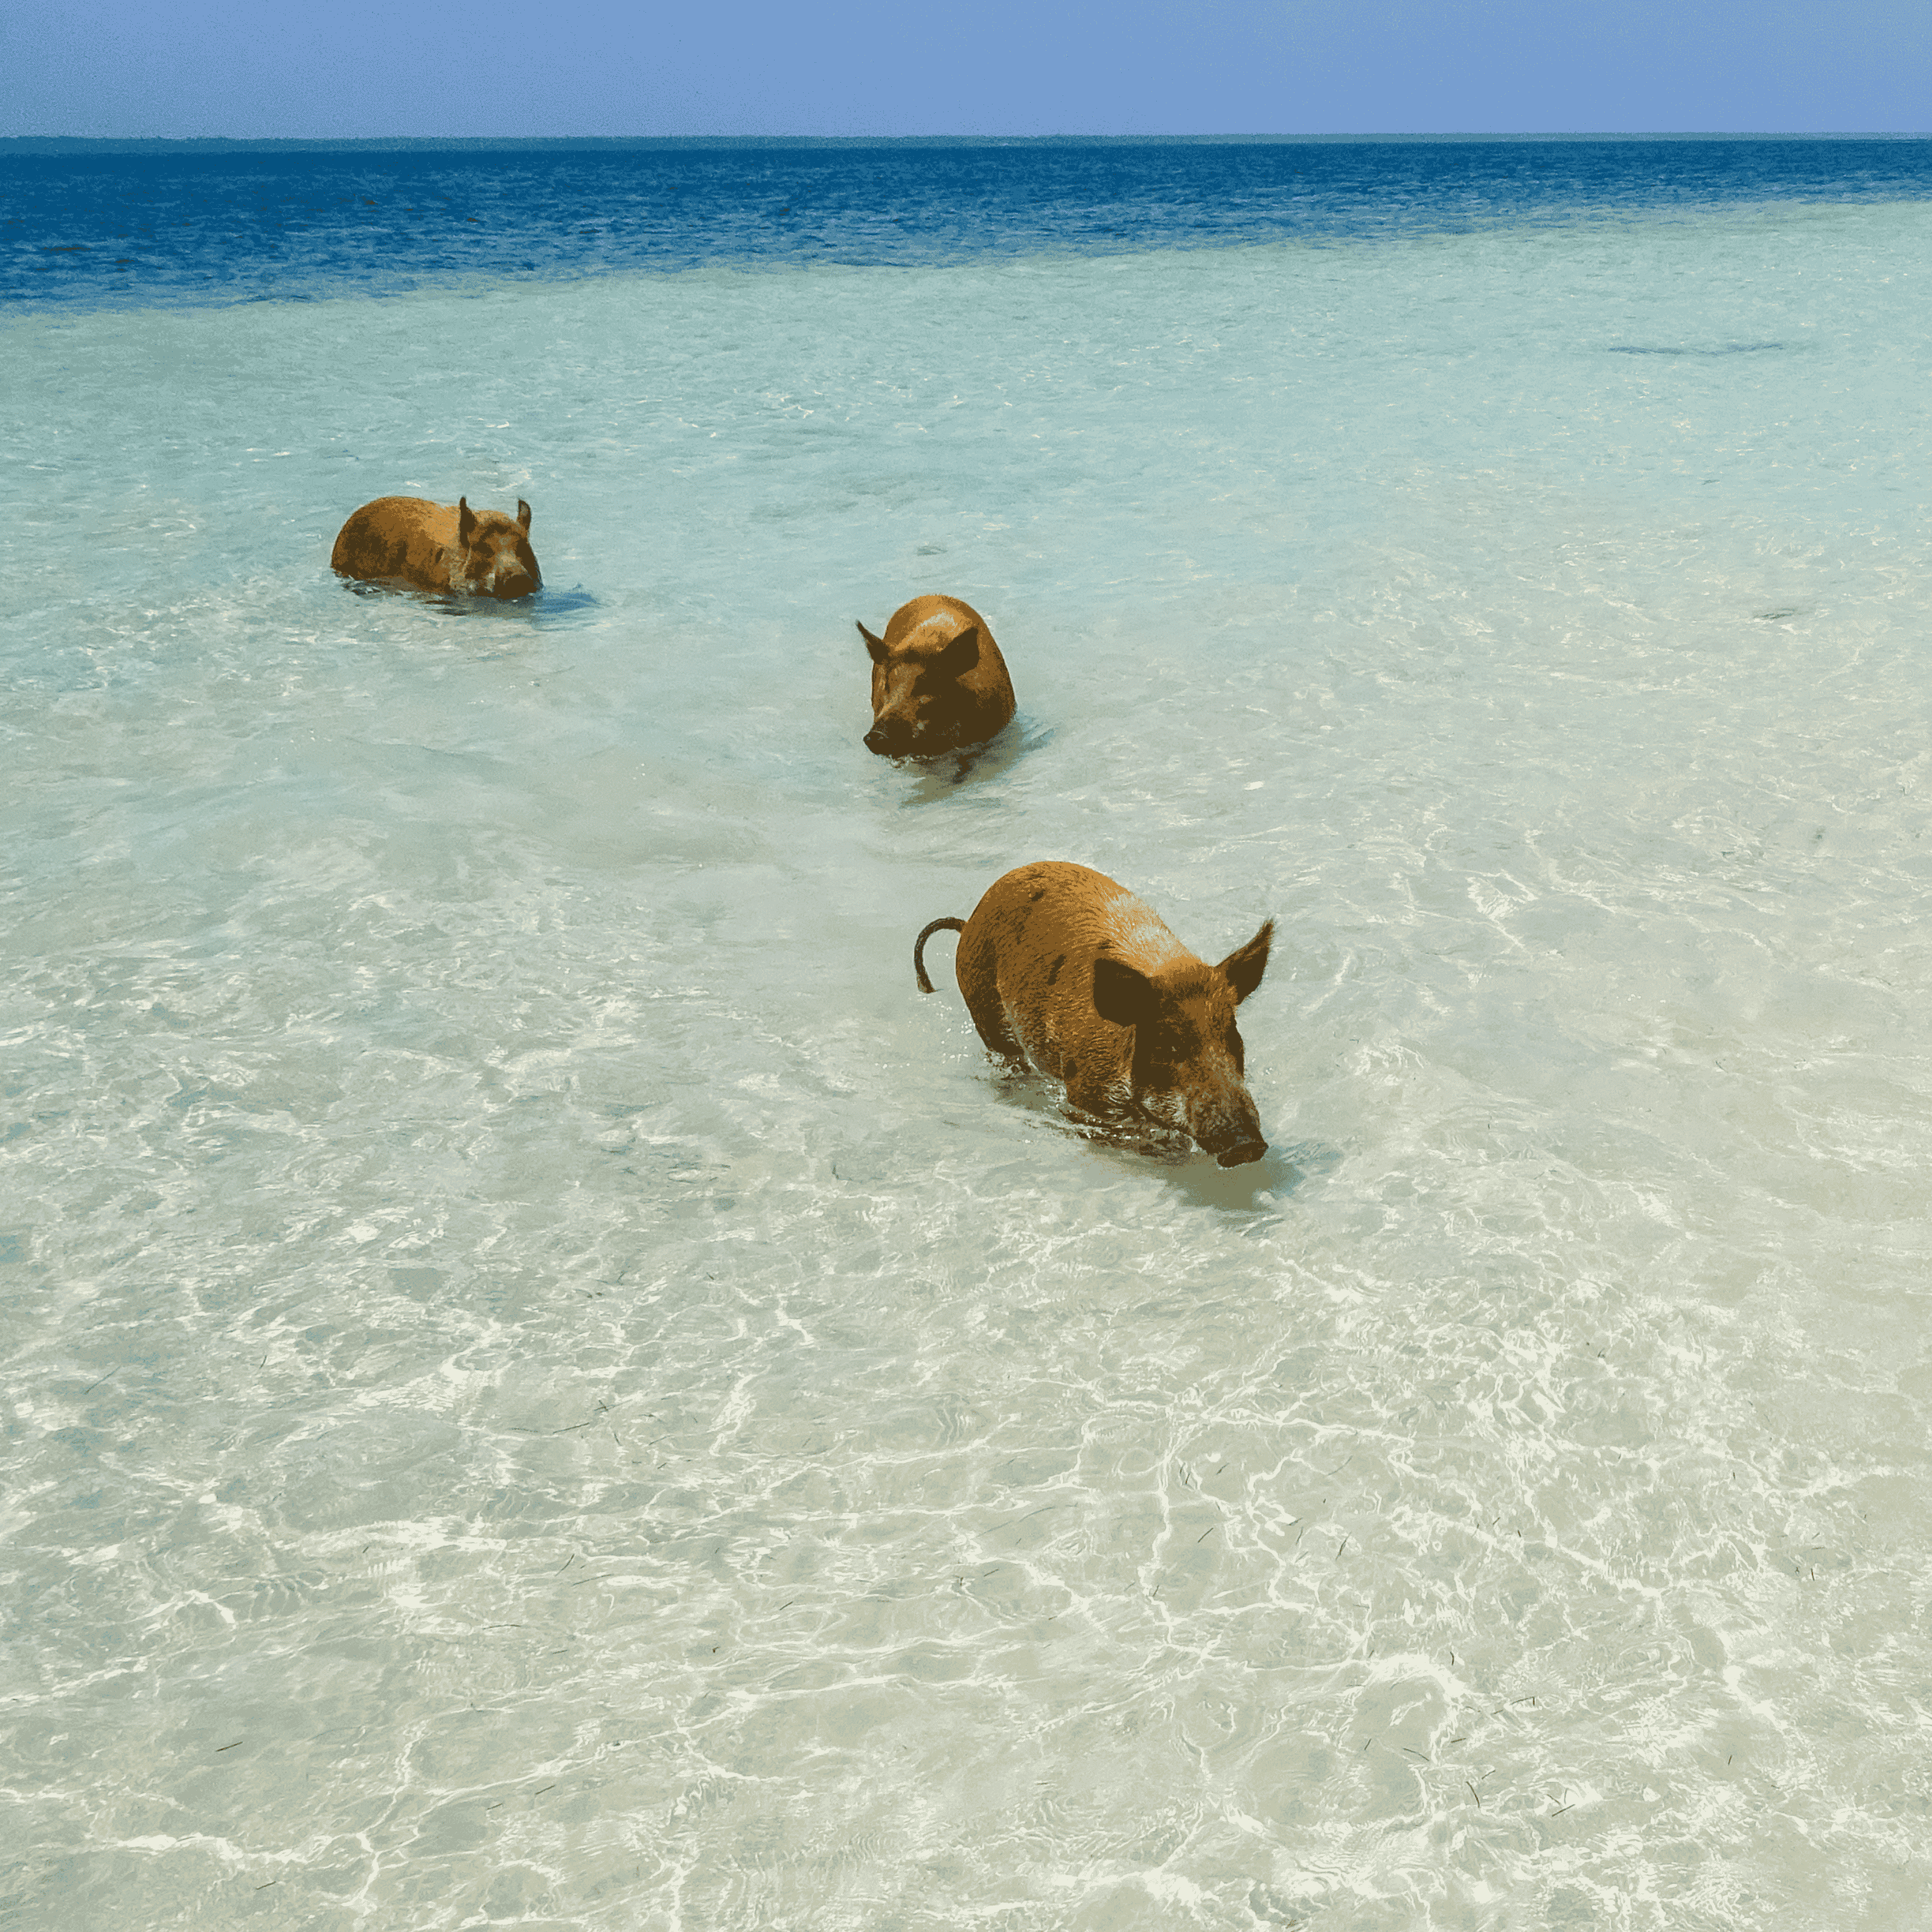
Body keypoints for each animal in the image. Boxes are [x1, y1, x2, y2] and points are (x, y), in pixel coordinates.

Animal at [914, 860, 1274, 1166]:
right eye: (1169, 1045)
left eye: (1233, 1036)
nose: (1247, 1145)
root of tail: (969, 923)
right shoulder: (1086, 1095)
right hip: (984, 1012)